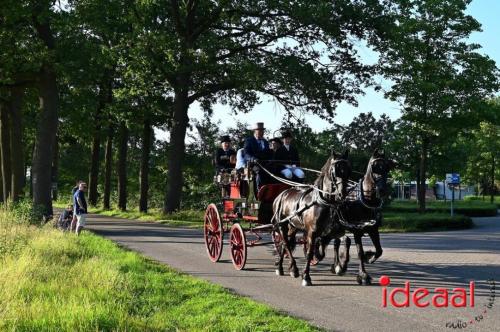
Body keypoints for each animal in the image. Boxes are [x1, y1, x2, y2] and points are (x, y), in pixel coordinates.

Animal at [272, 150, 350, 286]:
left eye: (348, 169)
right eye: (335, 170)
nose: (342, 194)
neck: (323, 202)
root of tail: (280, 195)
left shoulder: (330, 232)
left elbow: (324, 249)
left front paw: (336, 266)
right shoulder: (312, 233)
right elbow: (309, 253)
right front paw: (306, 277)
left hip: (293, 227)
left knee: (284, 243)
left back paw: (281, 267)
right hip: (282, 225)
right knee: (286, 243)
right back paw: (293, 269)